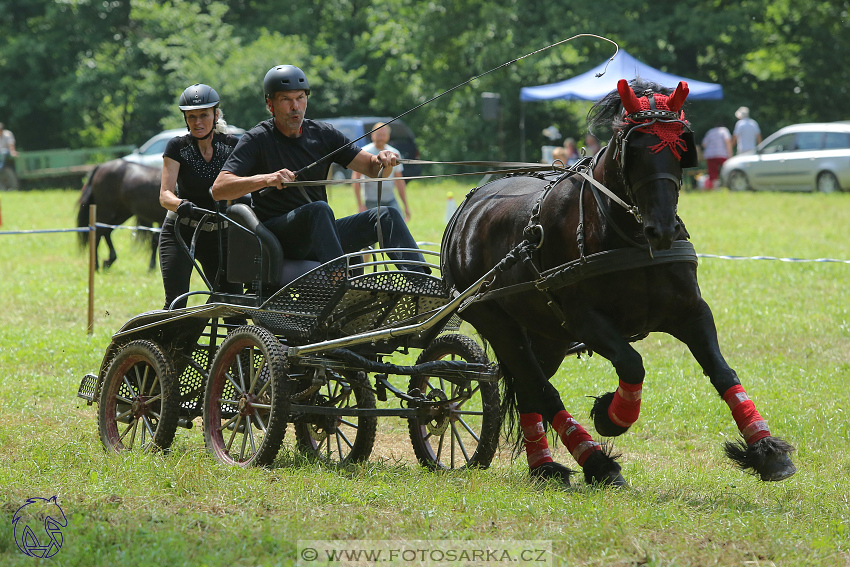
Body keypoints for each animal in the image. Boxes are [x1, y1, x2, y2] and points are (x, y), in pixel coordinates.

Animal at [444, 79, 796, 488]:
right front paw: (610, 416)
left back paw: (544, 467)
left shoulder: (691, 311)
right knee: (539, 386)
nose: (662, 229)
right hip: (499, 323)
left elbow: (723, 372)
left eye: (681, 147)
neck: (629, 237)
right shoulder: (586, 321)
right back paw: (594, 461)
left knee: (531, 387)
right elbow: (631, 363)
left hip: (546, 334)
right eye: (636, 149)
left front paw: (767, 451)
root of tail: (468, 209)